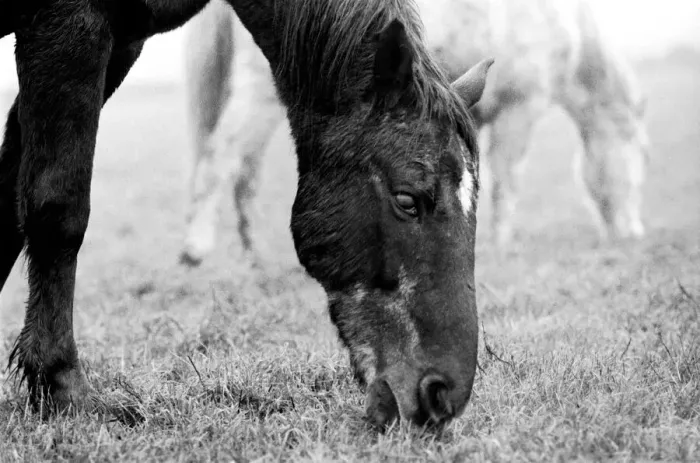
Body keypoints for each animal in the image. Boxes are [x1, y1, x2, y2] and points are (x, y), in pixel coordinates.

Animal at [1, 0, 492, 429]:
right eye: (408, 200)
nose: (442, 393)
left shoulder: (122, 42)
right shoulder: (70, 29)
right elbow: (58, 210)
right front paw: (64, 390)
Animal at [179, 0, 650, 266]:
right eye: (636, 151)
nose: (634, 233)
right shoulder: (520, 108)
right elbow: (508, 181)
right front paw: (503, 242)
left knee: (245, 172)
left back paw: (254, 252)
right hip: (257, 94)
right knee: (220, 159)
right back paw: (196, 248)